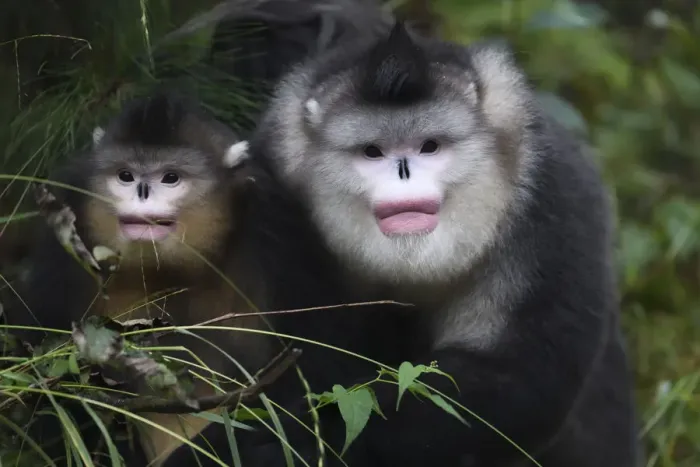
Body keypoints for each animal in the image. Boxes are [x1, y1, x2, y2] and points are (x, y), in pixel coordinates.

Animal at [166, 22, 642, 467]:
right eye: (373, 152)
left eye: (429, 146)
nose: (404, 173)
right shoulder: (273, 195)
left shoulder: (554, 199)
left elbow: (516, 382)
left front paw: (289, 440)